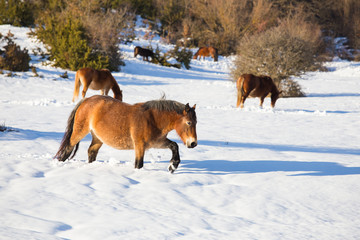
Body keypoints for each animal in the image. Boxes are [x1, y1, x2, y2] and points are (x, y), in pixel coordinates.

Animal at [54, 94, 198, 172]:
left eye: (196, 122)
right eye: (189, 122)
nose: (193, 143)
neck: (153, 119)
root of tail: (87, 99)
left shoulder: (157, 142)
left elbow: (174, 145)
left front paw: (173, 166)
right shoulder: (140, 145)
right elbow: (138, 164)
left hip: (98, 138)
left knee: (91, 152)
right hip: (79, 132)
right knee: (68, 149)